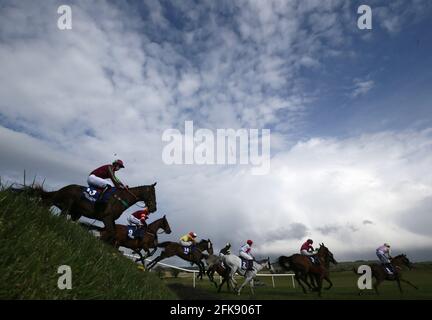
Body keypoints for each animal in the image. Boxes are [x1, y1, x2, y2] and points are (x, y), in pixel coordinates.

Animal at [27, 182, 155, 242]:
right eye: (153, 194)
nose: (154, 208)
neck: (121, 198)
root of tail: (64, 188)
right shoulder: (107, 218)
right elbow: (111, 233)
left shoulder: (110, 220)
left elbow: (111, 233)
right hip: (66, 204)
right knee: (56, 212)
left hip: (72, 211)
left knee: (45, 204)